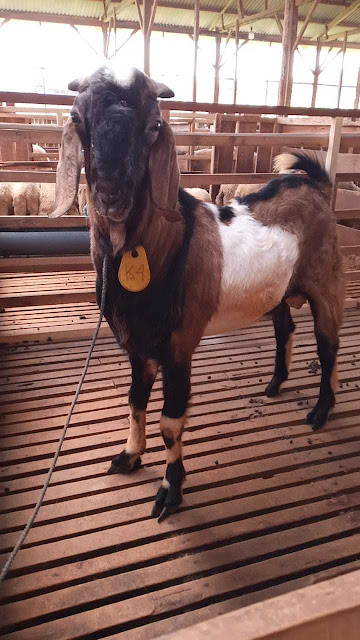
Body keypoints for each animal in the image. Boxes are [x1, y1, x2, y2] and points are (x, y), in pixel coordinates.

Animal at [52, 67, 344, 524]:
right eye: (78, 119)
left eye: (154, 125)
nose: (111, 194)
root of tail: (313, 184)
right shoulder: (138, 346)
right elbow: (135, 401)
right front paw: (129, 456)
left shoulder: (178, 345)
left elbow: (170, 423)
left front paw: (170, 493)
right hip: (279, 290)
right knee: (285, 328)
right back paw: (275, 383)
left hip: (326, 282)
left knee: (328, 344)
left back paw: (319, 411)